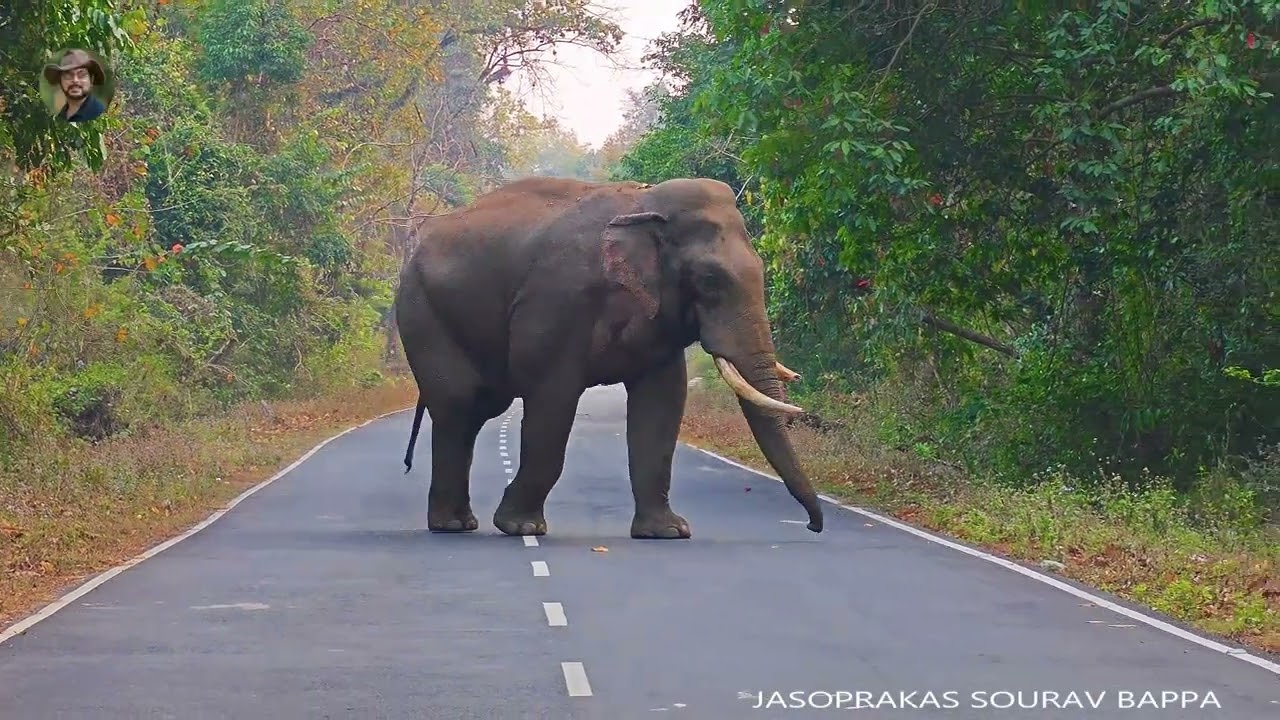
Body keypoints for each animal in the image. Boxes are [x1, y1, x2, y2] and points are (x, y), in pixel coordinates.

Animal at [394, 175, 823, 538]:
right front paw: (521, 528)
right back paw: (452, 525)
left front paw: (668, 532)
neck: (644, 202)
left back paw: (460, 522)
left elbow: (663, 400)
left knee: (477, 409)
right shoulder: (558, 301)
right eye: (710, 280)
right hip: (422, 312)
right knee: (458, 404)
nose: (812, 527)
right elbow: (552, 398)